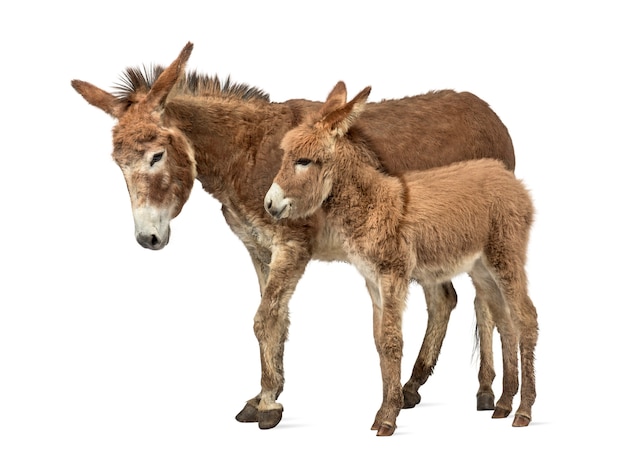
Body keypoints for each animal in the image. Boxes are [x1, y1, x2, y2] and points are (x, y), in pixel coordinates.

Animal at [264, 81, 536, 434]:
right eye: (285, 156)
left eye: (304, 161)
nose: (269, 204)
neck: (372, 203)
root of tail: (510, 180)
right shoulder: (372, 281)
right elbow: (380, 342)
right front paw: (384, 409)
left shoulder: (393, 275)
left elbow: (393, 340)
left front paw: (388, 419)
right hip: (482, 268)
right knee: (505, 321)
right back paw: (503, 403)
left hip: (506, 256)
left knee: (526, 318)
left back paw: (524, 411)